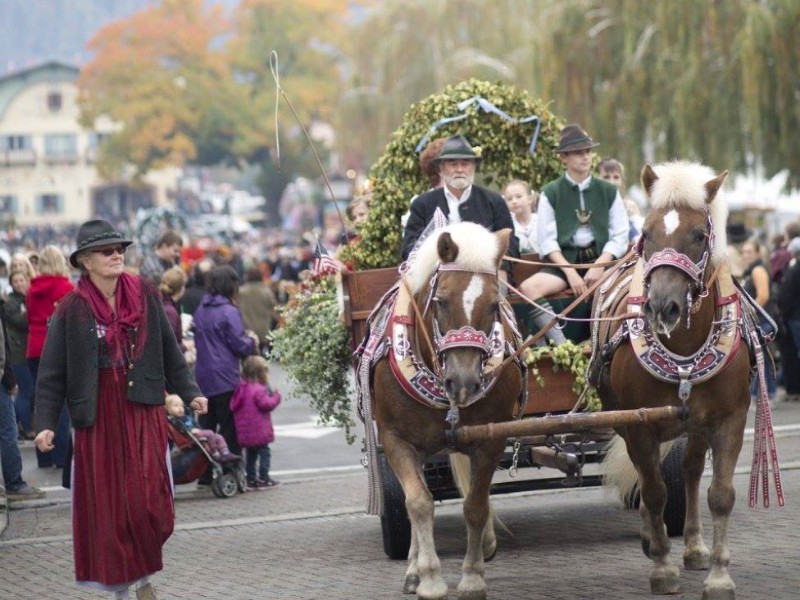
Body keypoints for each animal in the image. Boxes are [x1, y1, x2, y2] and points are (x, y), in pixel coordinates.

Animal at [368, 223, 524, 600]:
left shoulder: (491, 440)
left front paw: (472, 577)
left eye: (494, 304)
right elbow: (418, 503)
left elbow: (476, 506)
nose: (463, 381)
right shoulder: (395, 440)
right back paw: (413, 569)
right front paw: (429, 579)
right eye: (440, 300)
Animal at [592, 162, 756, 596]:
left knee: (692, 469)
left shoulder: (729, 419)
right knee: (652, 480)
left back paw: (695, 546)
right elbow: (653, 491)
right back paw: (654, 538)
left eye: (699, 235)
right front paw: (663, 567)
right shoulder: (639, 424)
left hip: (696, 424)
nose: (662, 306)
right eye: (646, 233)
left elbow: (720, 494)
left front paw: (719, 576)